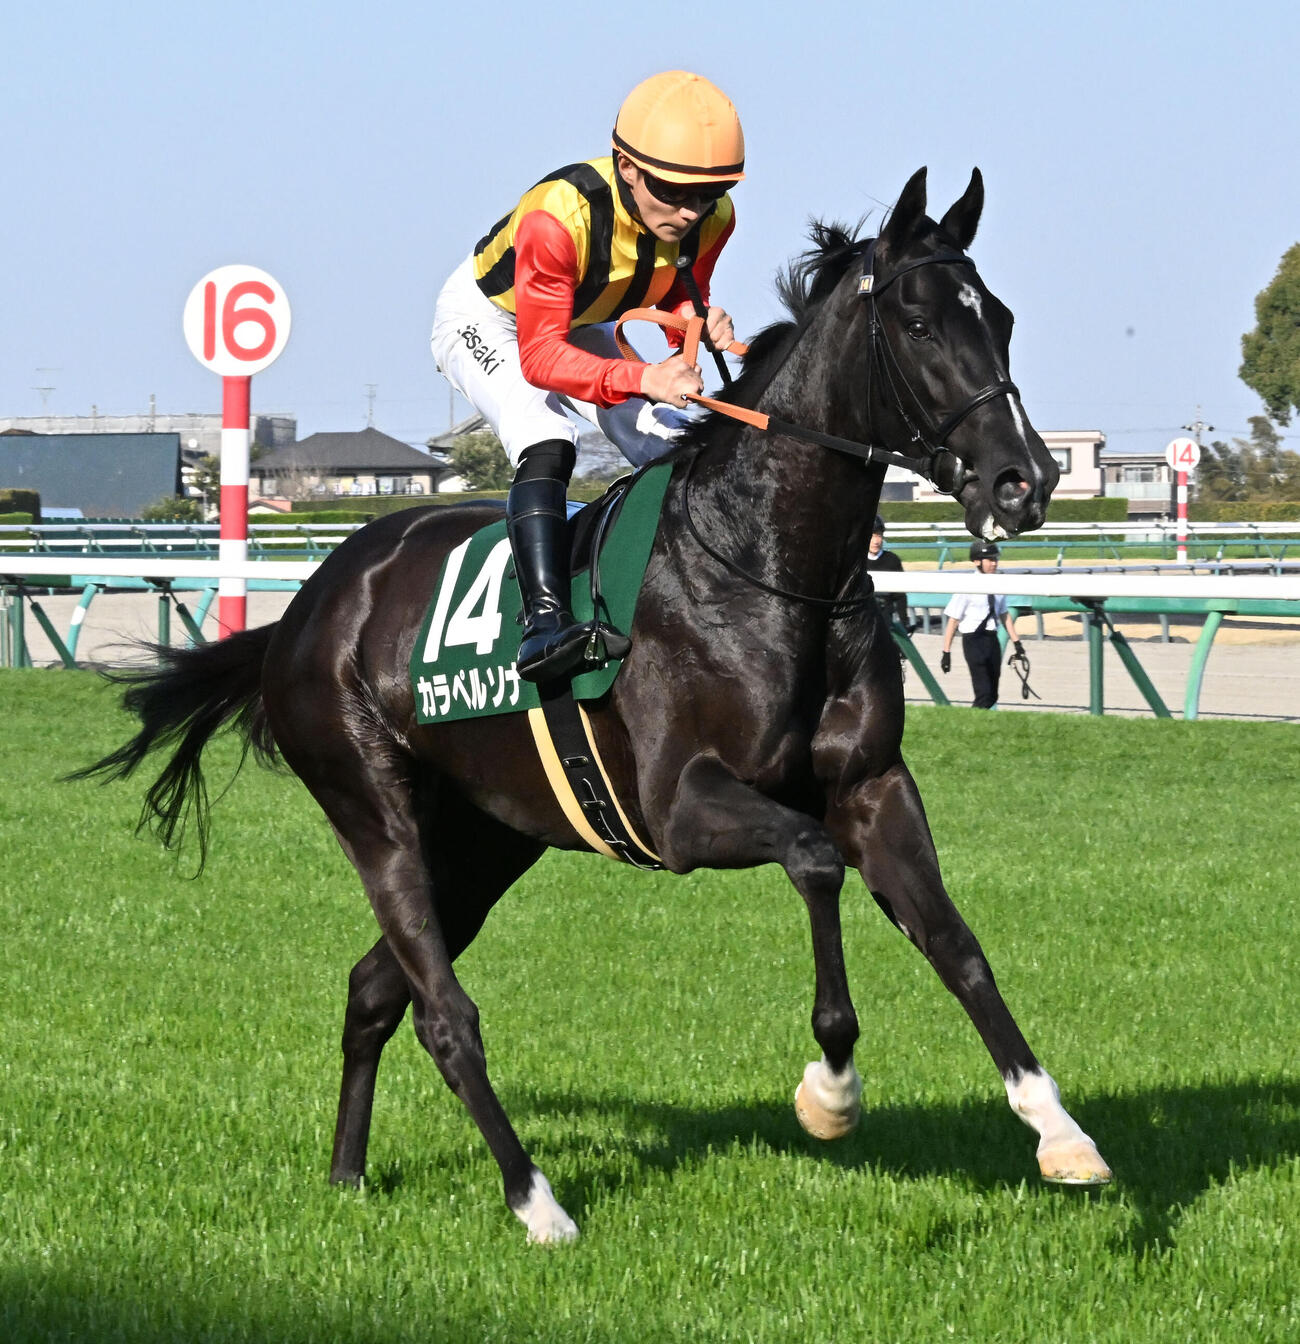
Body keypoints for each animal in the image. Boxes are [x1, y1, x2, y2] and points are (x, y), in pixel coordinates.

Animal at [79, 167, 1111, 1244]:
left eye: (998, 317)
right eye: (917, 324)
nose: (1026, 479)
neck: (766, 566)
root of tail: (311, 605)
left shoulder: (872, 785)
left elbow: (957, 943)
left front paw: (1059, 1131)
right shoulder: (680, 808)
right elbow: (815, 861)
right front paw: (830, 1088)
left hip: (486, 838)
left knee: (374, 990)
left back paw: (348, 1175)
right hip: (375, 812)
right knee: (443, 1013)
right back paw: (536, 1202)